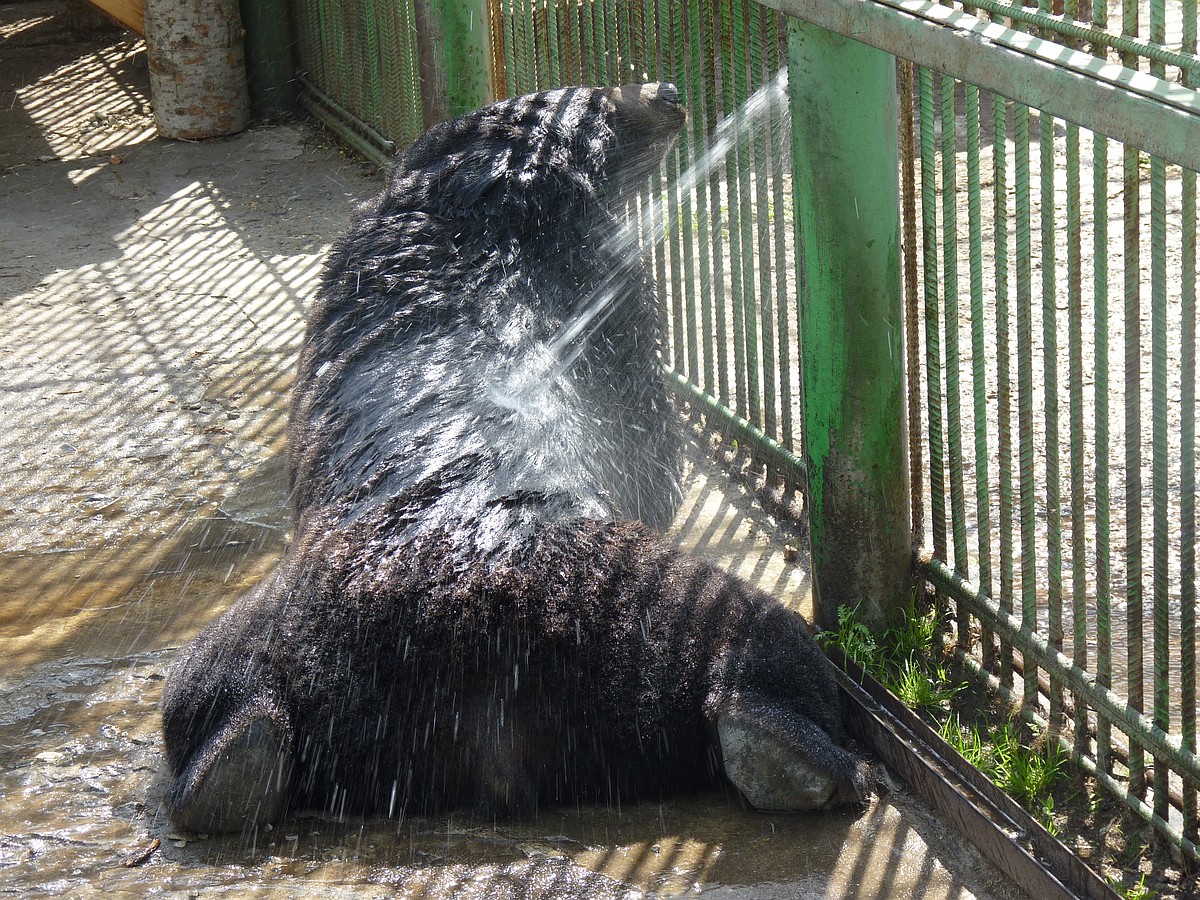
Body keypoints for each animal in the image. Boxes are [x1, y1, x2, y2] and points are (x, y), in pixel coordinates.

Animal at [162, 81, 873, 835]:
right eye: (601, 97)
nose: (668, 91)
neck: (494, 207)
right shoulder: (620, 304)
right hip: (666, 604)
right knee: (766, 654)